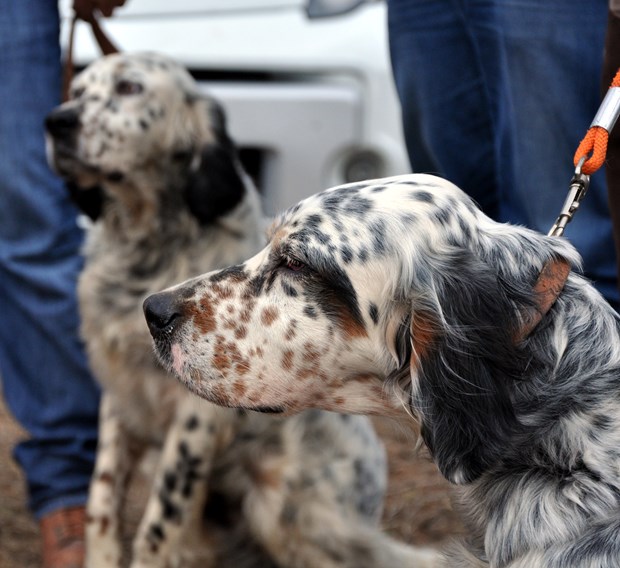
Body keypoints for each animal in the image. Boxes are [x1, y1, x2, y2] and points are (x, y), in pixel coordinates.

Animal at [46, 54, 438, 568]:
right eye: (77, 90)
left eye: (129, 87)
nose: (57, 121)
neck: (145, 248)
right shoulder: (120, 395)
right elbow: (102, 502)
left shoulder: (194, 414)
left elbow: (160, 521)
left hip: (289, 515)